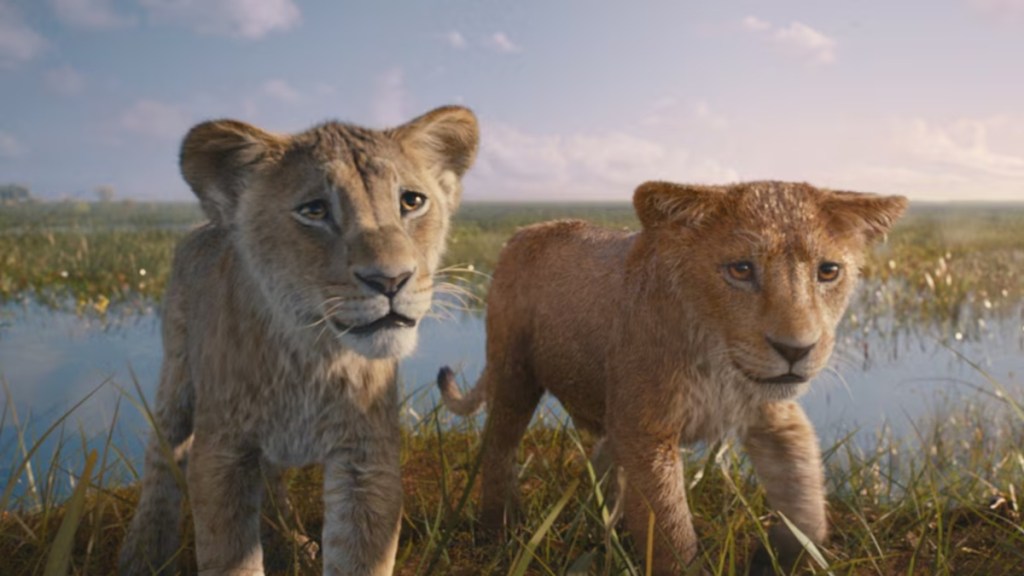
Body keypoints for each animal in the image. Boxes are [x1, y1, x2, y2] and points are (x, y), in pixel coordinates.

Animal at [119, 105, 479, 576]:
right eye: (314, 210)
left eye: (411, 201)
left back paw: (288, 540)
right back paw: (143, 551)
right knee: (163, 455)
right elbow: (229, 556)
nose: (391, 280)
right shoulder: (222, 454)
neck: (312, 356)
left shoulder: (366, 459)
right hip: (176, 373)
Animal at [438, 180, 907, 575]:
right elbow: (671, 530)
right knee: (499, 447)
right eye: (740, 270)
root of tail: (526, 230)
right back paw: (499, 531)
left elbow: (806, 500)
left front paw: (779, 555)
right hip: (514, 371)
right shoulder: (648, 431)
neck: (718, 362)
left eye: (828, 272)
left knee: (605, 460)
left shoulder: (775, 418)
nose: (796, 350)